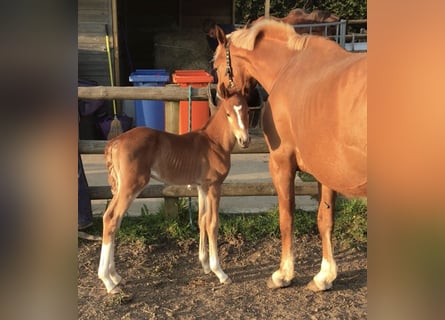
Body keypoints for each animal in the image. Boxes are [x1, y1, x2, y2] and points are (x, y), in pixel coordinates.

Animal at [98, 84, 250, 294]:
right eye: (228, 113)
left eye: (247, 111)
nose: (245, 140)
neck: (214, 143)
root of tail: (115, 142)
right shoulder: (214, 186)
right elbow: (212, 223)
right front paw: (219, 272)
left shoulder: (202, 187)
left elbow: (202, 220)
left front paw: (204, 265)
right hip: (131, 186)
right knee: (111, 218)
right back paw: (108, 282)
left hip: (121, 187)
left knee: (114, 220)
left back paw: (115, 276)